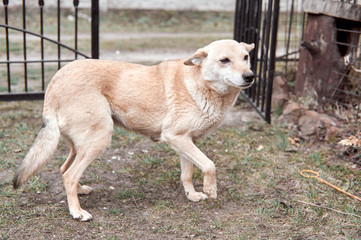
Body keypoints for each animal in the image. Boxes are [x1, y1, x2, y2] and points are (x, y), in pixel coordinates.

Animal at [12, 39, 255, 221]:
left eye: (246, 57)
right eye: (224, 60)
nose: (250, 76)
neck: (201, 83)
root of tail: (54, 83)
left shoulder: (186, 142)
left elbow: (188, 173)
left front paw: (192, 195)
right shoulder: (176, 138)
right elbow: (210, 165)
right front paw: (211, 189)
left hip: (81, 144)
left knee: (64, 170)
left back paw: (79, 192)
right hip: (98, 140)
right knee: (70, 175)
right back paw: (77, 212)